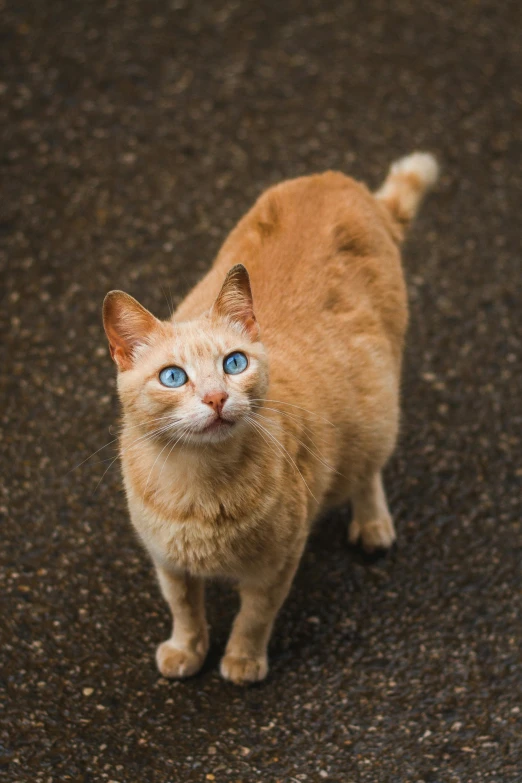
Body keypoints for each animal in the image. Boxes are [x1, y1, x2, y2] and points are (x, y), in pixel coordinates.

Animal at [101, 152, 434, 680]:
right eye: (173, 377)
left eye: (234, 364)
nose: (216, 398)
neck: (198, 487)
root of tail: (339, 181)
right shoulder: (167, 562)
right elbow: (184, 609)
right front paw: (188, 649)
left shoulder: (276, 565)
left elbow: (254, 617)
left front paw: (241, 660)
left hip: (379, 407)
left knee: (368, 469)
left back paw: (373, 523)